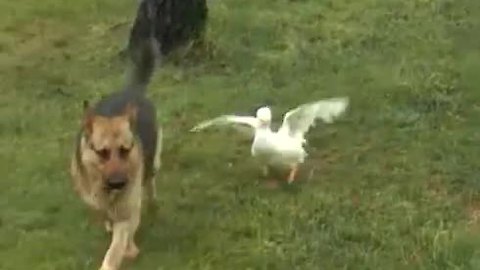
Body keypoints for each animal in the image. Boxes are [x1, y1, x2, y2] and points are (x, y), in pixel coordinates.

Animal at [69, 2, 162, 270]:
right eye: (102, 152)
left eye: (125, 149)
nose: (119, 182)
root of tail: (131, 92)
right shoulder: (98, 202)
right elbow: (107, 218)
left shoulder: (128, 209)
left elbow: (119, 243)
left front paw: (126, 251)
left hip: (153, 164)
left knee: (150, 182)